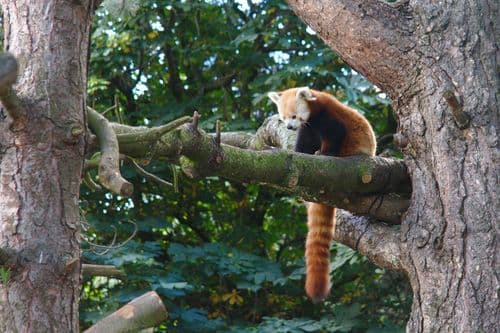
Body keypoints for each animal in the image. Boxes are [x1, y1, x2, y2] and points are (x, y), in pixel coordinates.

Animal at [270, 87, 376, 302]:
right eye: (283, 118)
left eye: (294, 116)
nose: (290, 127)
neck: (314, 111)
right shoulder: (308, 128)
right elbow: (304, 143)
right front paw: (301, 152)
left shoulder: (329, 117)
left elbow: (335, 134)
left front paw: (325, 153)